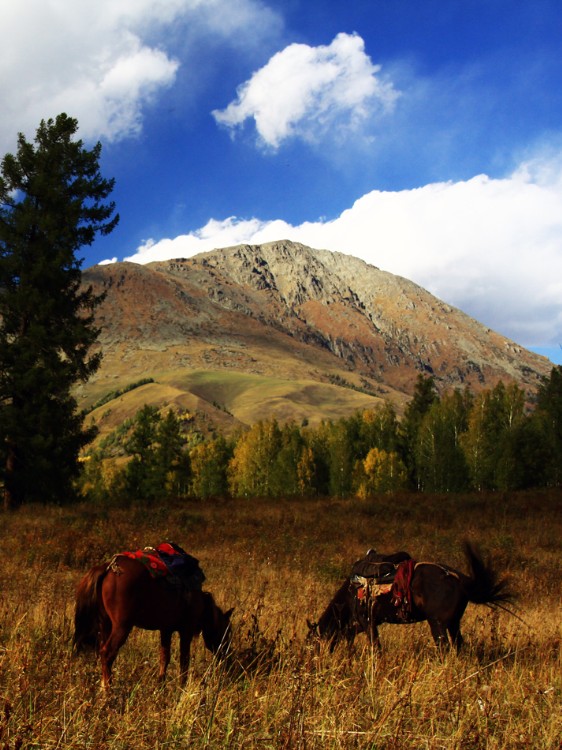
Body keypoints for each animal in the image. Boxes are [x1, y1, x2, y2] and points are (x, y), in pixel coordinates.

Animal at [74, 556, 232, 692]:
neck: (201, 604)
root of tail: (108, 568)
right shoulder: (185, 631)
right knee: (107, 654)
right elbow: (184, 660)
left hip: (105, 625)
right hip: (121, 627)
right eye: (228, 632)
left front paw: (161, 684)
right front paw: (182, 686)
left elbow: (165, 657)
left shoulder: (166, 630)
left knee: (102, 653)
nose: (228, 660)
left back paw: (103, 686)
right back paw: (108, 691)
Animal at [310, 544, 512, 656]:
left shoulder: (368, 622)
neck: (350, 593)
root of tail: (458, 578)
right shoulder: (357, 625)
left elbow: (376, 648)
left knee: (444, 647)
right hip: (453, 623)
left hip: (437, 623)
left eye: (311, 642)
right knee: (458, 644)